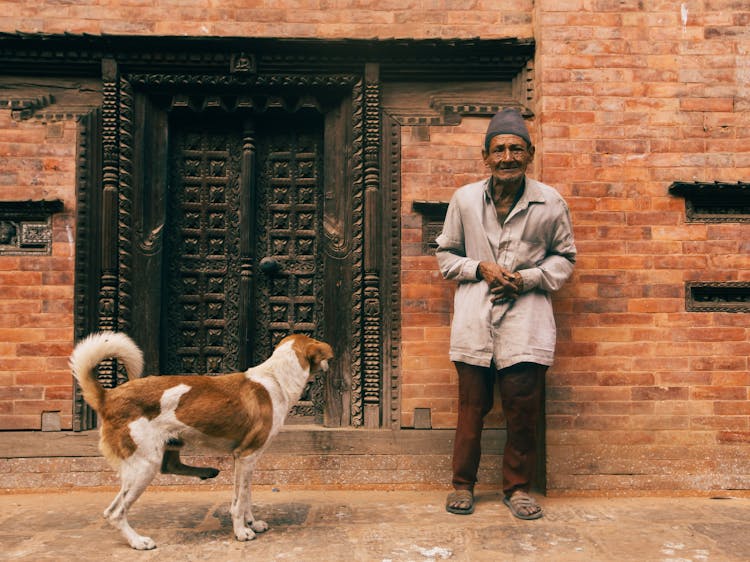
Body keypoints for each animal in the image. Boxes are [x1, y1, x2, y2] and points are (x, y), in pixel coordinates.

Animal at [71, 328, 334, 548]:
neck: (277, 379)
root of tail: (108, 397)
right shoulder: (246, 455)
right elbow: (238, 502)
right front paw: (241, 532)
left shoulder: (246, 461)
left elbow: (246, 496)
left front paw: (252, 523)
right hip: (144, 465)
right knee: (114, 512)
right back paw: (138, 541)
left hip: (169, 445)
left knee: (170, 466)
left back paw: (207, 471)